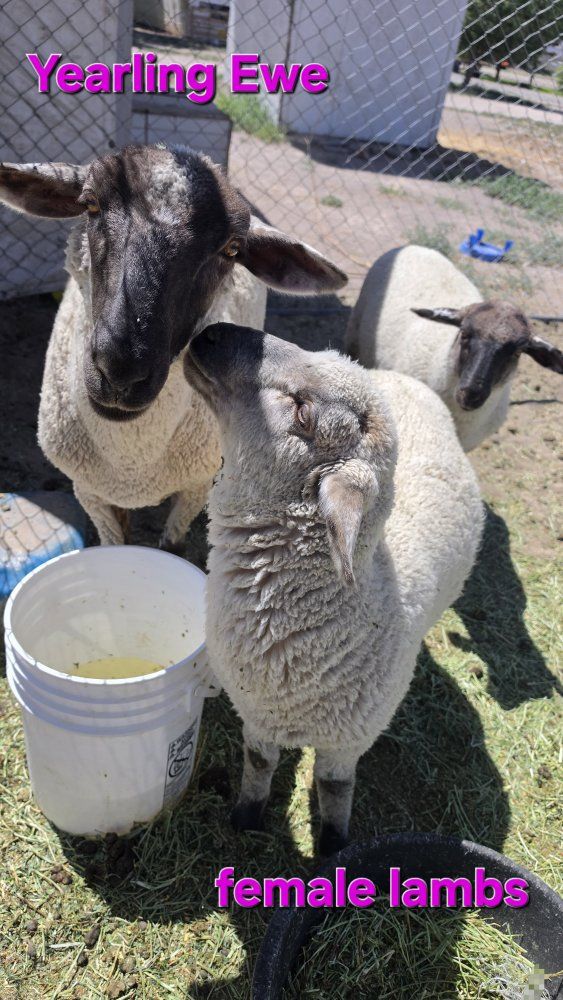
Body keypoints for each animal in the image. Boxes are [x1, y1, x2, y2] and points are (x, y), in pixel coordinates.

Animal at [0, 145, 346, 548]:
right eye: (90, 205)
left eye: (232, 249)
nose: (122, 369)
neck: (132, 462)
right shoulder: (89, 492)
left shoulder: (197, 486)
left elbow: (173, 545)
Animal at [184, 321, 483, 855]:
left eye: (303, 411)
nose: (212, 332)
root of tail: (404, 378)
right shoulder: (257, 712)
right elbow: (258, 765)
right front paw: (245, 818)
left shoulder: (348, 740)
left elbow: (335, 787)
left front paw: (333, 847)